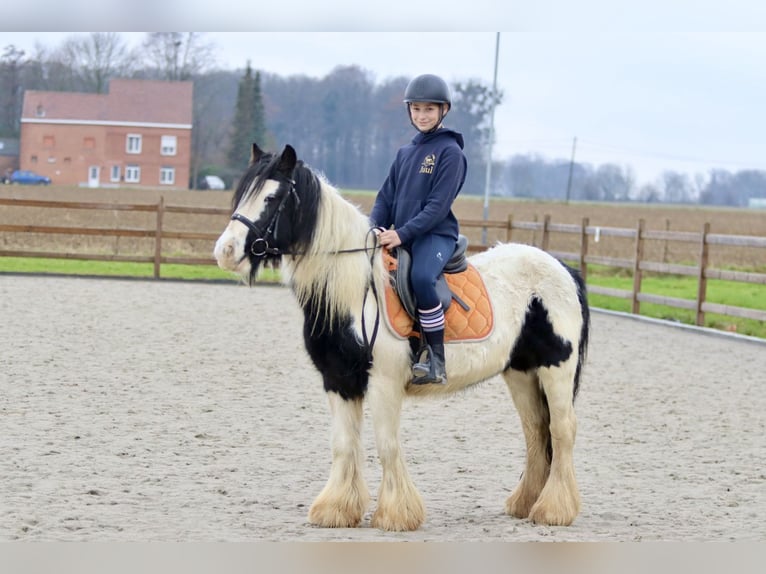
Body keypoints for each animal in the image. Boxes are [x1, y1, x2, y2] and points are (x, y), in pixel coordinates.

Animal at [213, 145, 592, 536]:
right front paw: (336, 510)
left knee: (561, 430)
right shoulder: (338, 383)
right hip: (521, 373)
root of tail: (562, 269)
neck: (354, 293)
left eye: (271, 197)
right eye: (241, 194)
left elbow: (387, 445)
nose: (225, 251)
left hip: (556, 370)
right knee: (535, 430)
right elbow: (343, 444)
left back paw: (554, 509)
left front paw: (396, 514)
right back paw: (525, 503)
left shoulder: (384, 382)